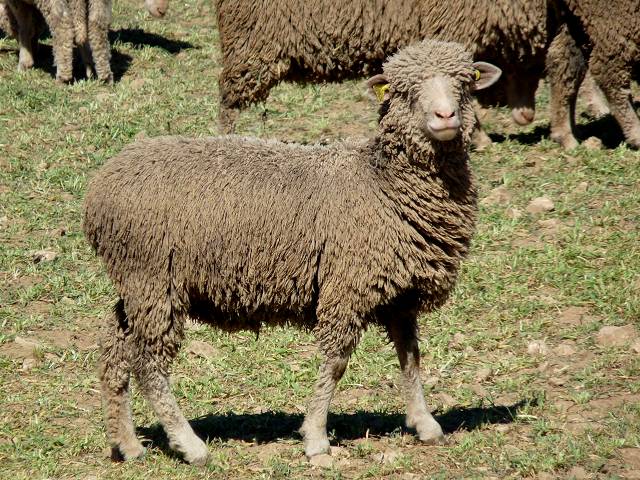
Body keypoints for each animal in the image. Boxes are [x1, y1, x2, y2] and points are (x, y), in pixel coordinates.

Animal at [83, 39, 501, 463]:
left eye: (466, 83)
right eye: (404, 91)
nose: (445, 115)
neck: (381, 183)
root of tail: (99, 188)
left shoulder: (401, 296)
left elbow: (410, 357)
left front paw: (425, 423)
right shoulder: (346, 288)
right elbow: (335, 363)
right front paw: (316, 438)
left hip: (137, 285)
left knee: (115, 350)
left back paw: (128, 443)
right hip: (153, 279)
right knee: (148, 363)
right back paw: (189, 444)